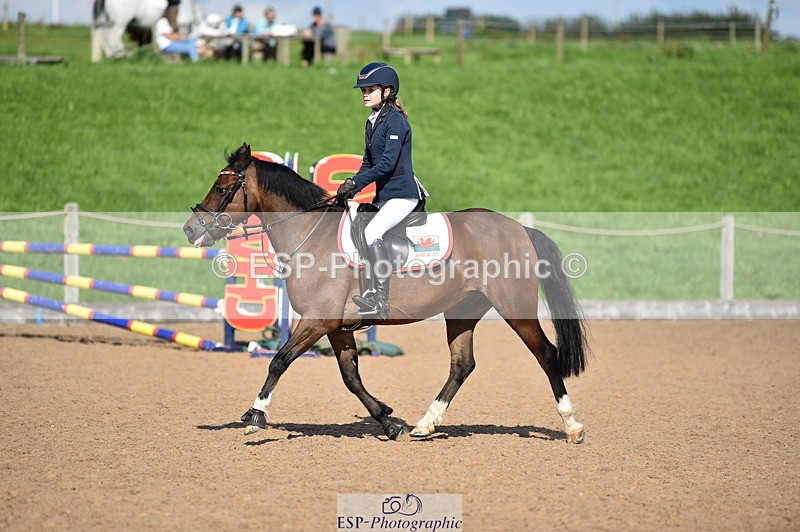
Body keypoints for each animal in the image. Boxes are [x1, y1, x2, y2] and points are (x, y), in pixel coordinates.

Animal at [183, 143, 589, 443]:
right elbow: (351, 377)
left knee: (546, 354)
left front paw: (256, 415)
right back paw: (425, 424)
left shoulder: (317, 320)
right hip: (462, 310)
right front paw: (388, 421)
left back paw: (572, 426)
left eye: (222, 189)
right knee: (462, 364)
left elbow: (279, 360)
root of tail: (518, 229)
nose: (190, 229)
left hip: (515, 307)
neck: (311, 236)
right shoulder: (336, 327)